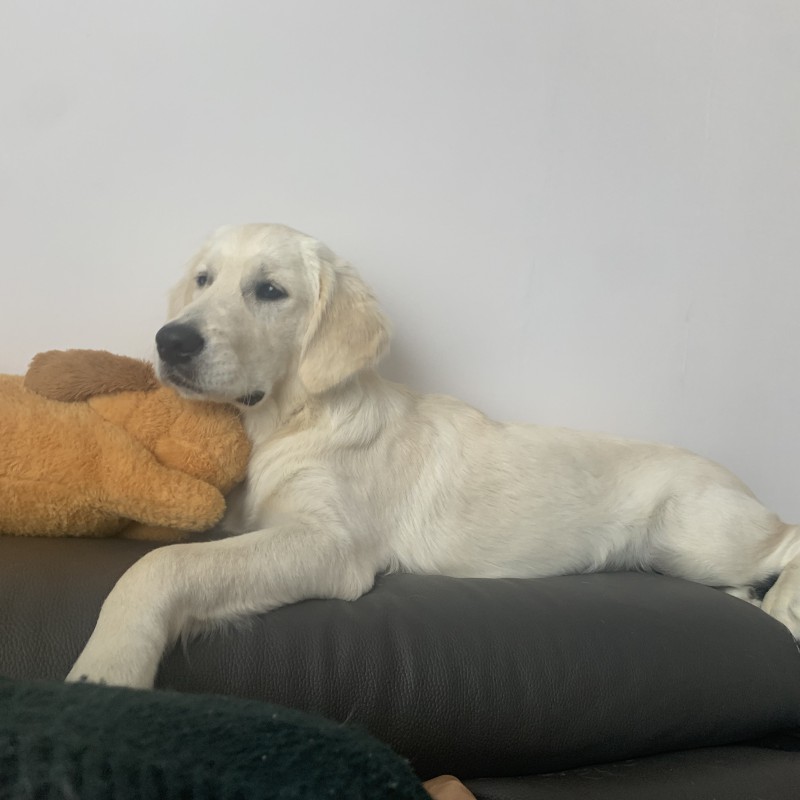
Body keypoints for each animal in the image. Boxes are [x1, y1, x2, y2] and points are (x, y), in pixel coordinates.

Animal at [67, 223, 800, 688]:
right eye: (203, 280)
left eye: (270, 290)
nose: (170, 341)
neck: (289, 420)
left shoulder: (331, 543)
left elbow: (162, 566)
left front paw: (108, 668)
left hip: (698, 535)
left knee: (786, 538)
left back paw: (785, 605)